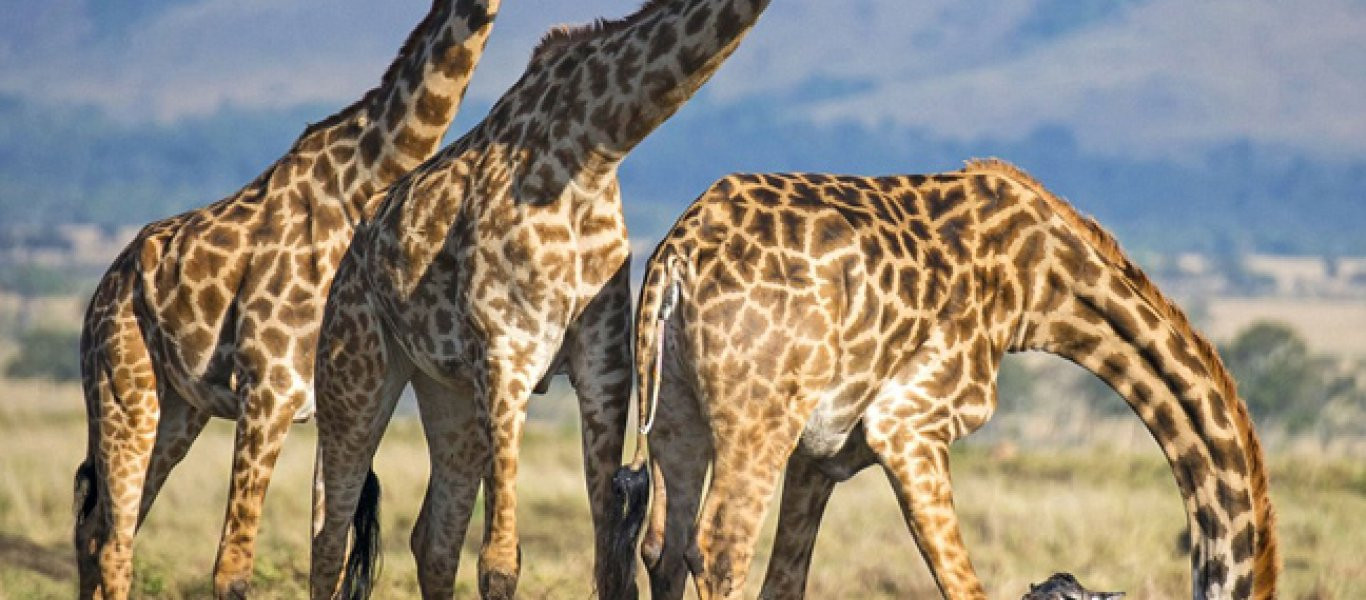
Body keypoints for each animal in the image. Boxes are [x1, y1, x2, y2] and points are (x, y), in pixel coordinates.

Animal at [73, 2, 502, 598]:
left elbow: (328, 556)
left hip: (178, 410)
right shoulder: (266, 391)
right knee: (113, 541)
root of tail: (101, 293)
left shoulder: (341, 403)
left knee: (101, 529)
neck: (363, 184)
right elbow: (233, 567)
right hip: (121, 392)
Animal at [311, 1, 775, 600]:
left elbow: (611, 567)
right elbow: (499, 562)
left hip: (449, 394)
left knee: (433, 539)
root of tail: (356, 244)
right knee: (331, 538)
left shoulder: (603, 366)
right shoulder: (508, 355)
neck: (592, 149)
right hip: (354, 373)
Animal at [617, 157, 1278, 598]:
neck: (1042, 287)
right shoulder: (909, 422)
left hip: (676, 409)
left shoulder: (821, 453)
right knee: (720, 546)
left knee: (663, 547)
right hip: (759, 418)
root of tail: (676, 254)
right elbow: (963, 586)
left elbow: (786, 583)